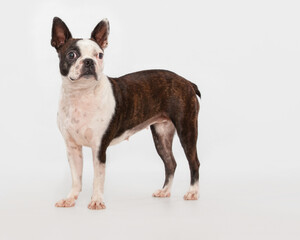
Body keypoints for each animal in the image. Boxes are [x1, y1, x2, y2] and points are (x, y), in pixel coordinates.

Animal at [51, 16, 202, 209]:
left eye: (100, 55)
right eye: (71, 55)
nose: (89, 61)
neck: (81, 94)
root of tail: (187, 81)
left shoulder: (99, 147)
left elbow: (98, 177)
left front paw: (96, 200)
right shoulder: (72, 147)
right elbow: (76, 177)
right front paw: (70, 198)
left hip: (187, 129)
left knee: (194, 162)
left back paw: (193, 192)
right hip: (162, 134)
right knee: (170, 163)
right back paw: (165, 191)